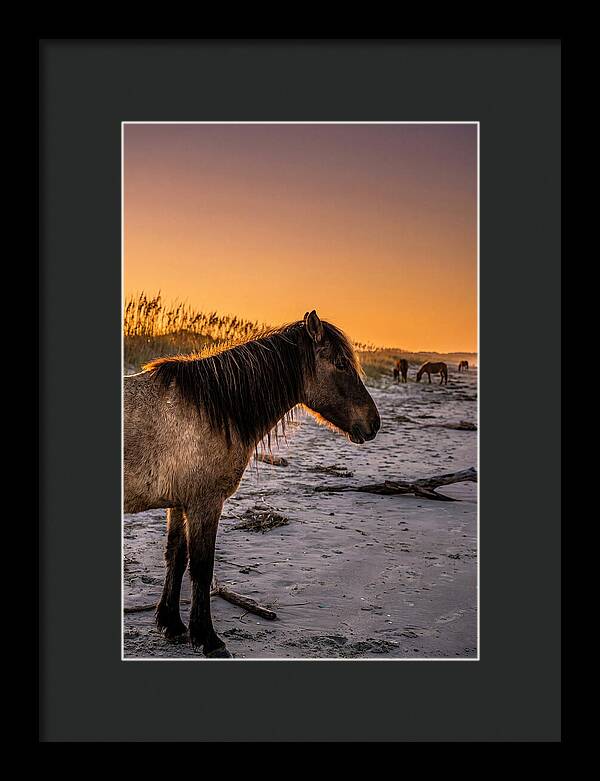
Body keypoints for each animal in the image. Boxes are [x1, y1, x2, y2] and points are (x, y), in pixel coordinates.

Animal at [123, 310, 381, 658]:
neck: (211, 409)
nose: (374, 423)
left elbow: (176, 556)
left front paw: (172, 624)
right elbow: (202, 567)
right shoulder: (205, 504)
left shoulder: (179, 504)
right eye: (341, 364)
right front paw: (208, 638)